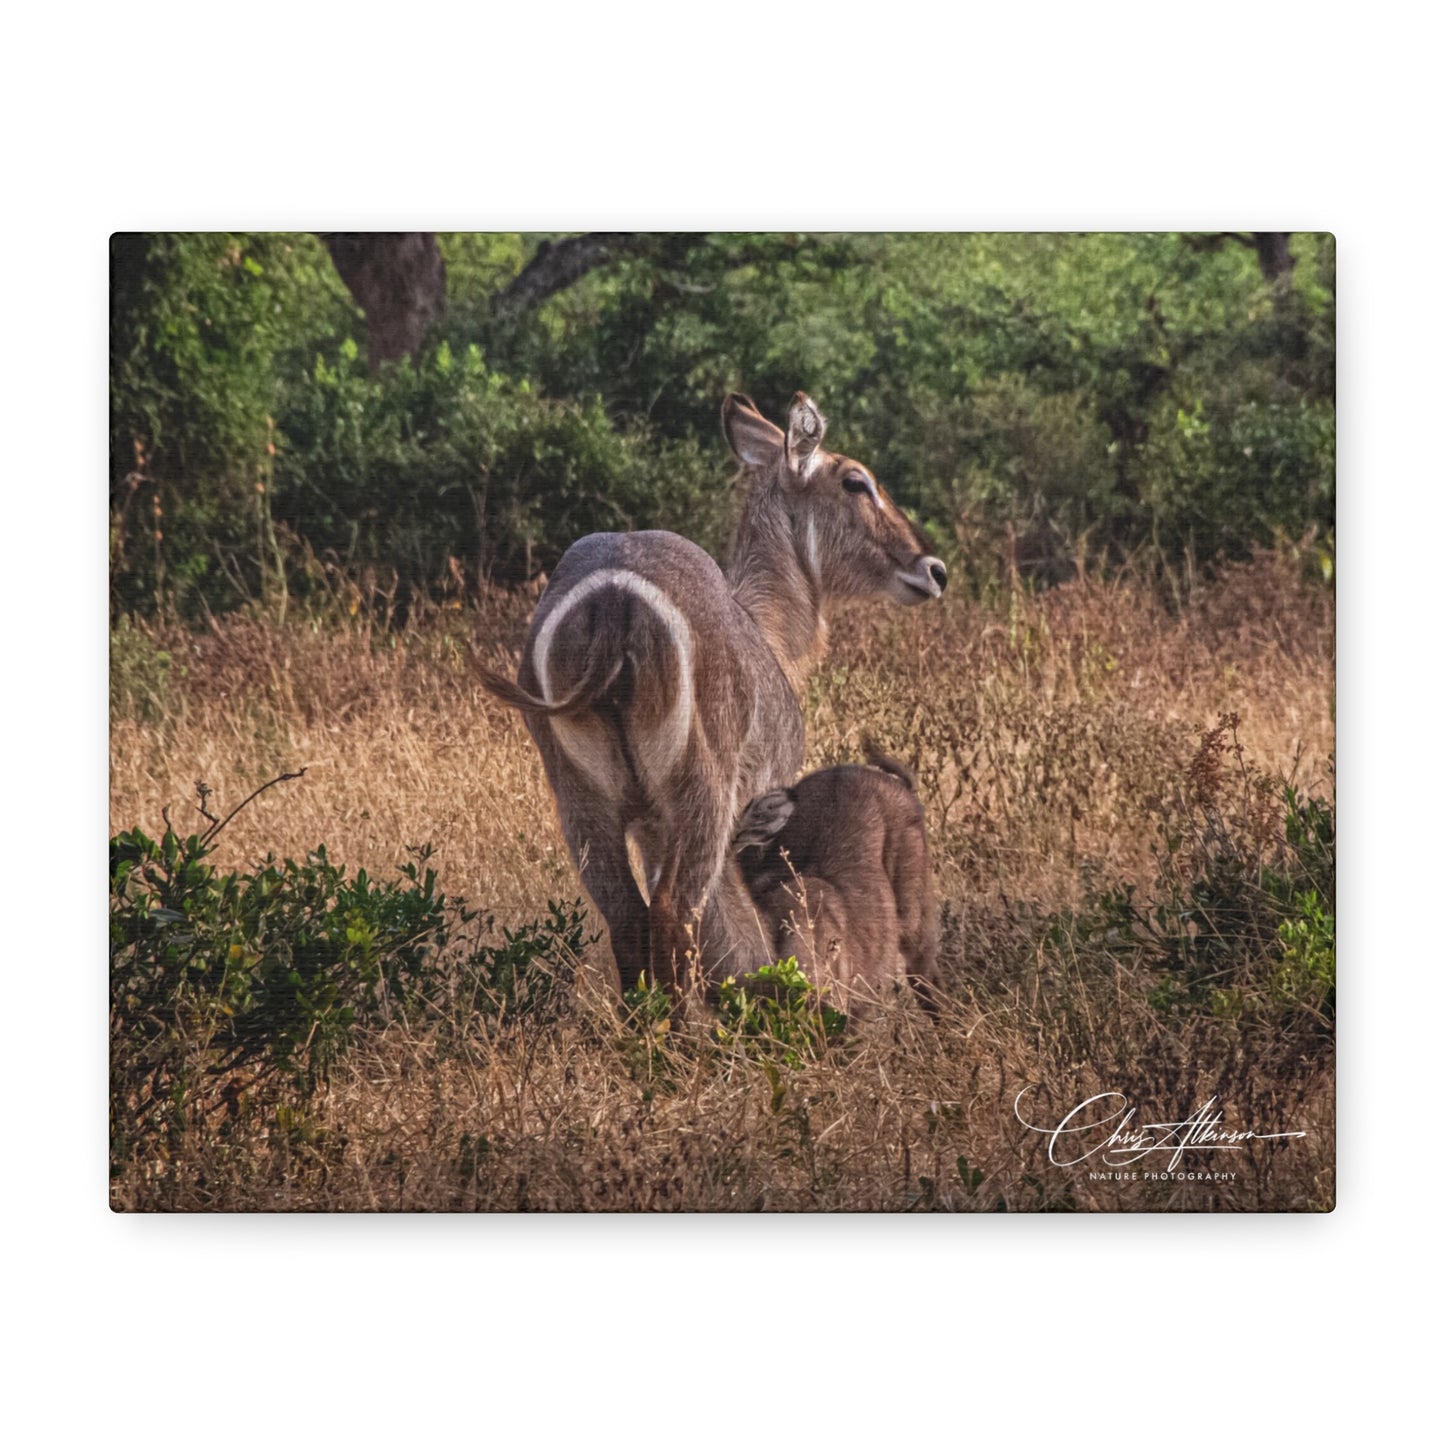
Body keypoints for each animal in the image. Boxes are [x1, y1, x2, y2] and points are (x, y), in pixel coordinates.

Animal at [476, 393, 947, 994]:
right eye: (855, 481)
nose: (933, 569)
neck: (766, 631)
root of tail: (613, 595)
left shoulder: (650, 826)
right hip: (701, 793)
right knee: (674, 913)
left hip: (582, 801)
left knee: (628, 919)